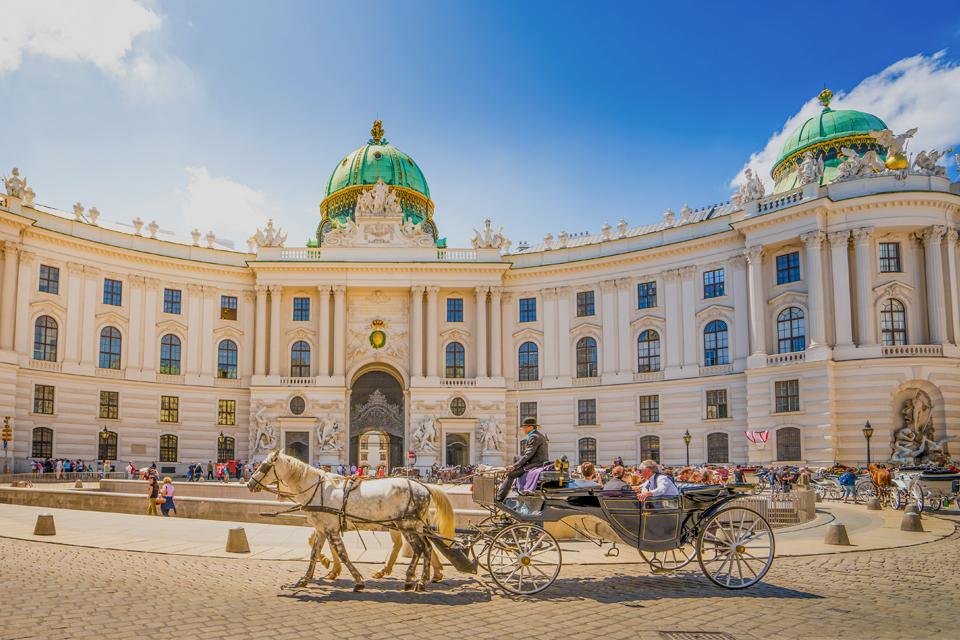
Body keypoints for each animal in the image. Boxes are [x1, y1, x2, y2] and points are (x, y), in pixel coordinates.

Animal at [249, 452, 456, 592]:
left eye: (264, 466)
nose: (250, 484)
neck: (318, 489)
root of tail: (424, 486)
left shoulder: (330, 529)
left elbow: (343, 554)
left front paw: (357, 580)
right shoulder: (322, 529)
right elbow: (314, 553)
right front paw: (305, 579)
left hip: (405, 525)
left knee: (420, 548)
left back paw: (413, 579)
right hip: (413, 526)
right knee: (426, 547)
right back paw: (422, 579)